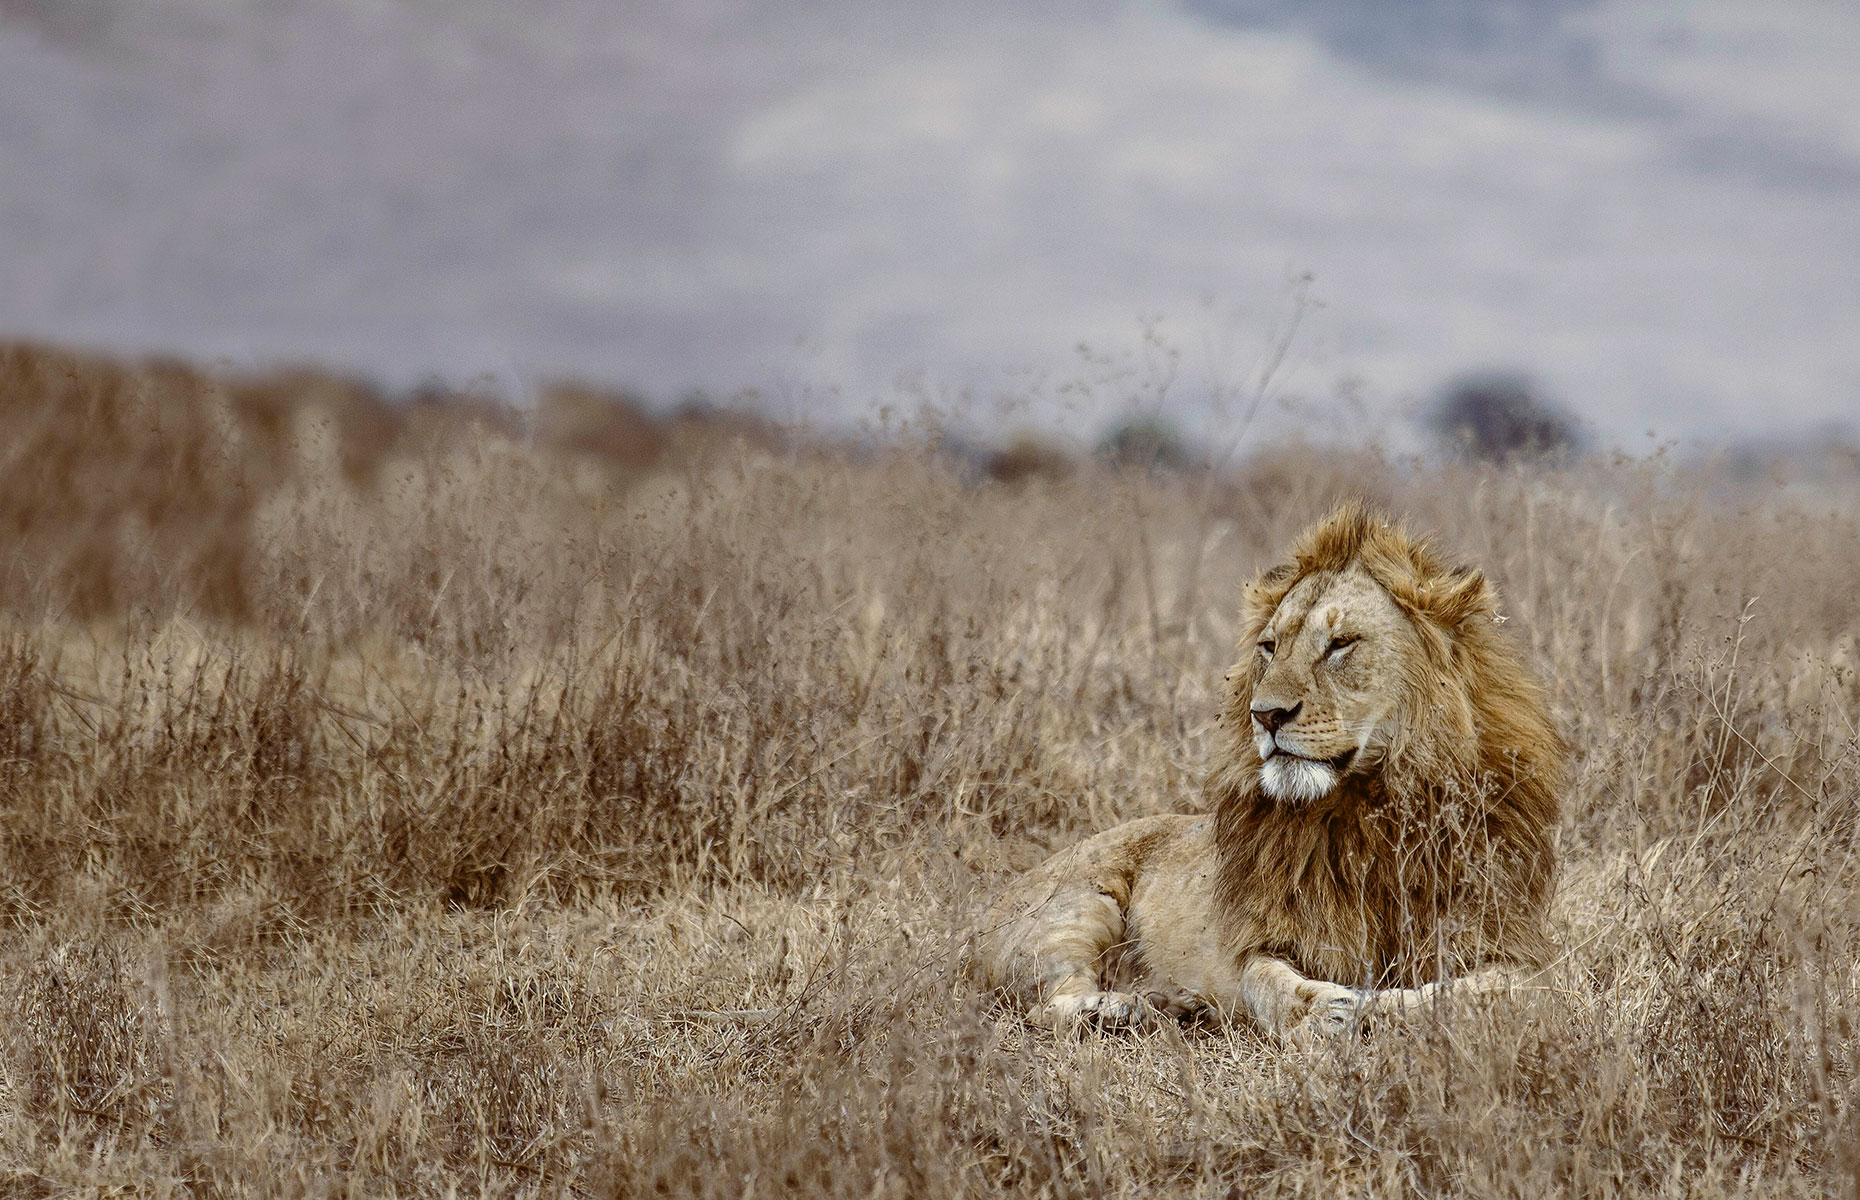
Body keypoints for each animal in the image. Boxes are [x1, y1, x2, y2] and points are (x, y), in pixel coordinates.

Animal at [982, 502, 1562, 1034]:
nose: (1266, 714)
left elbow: (1475, 994)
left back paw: (1170, 1005)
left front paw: (1380, 1007)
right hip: (1082, 905)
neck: (1374, 810)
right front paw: (1329, 1009)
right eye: (1270, 646)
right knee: (1044, 1004)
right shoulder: (1267, 938)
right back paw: (1130, 1008)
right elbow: (1268, 982)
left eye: (1340, 644)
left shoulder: (1516, 950)